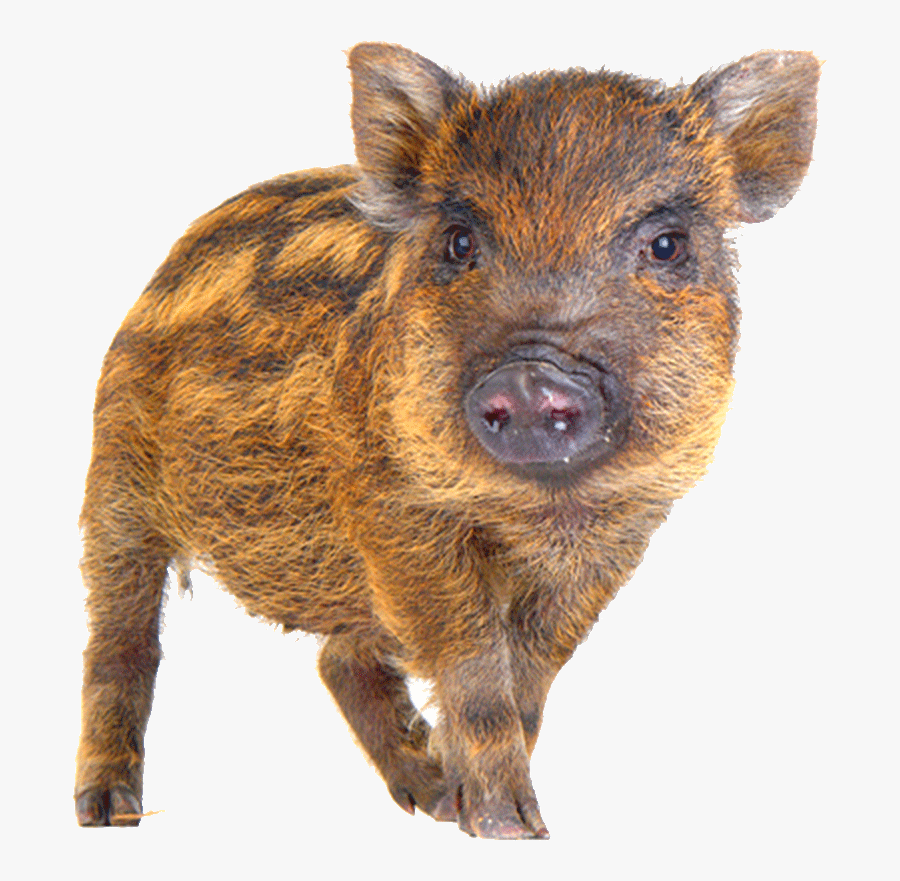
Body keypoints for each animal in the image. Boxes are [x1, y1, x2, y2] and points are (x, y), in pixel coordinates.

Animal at [75, 43, 819, 838]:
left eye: (667, 244)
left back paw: (427, 797)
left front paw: (480, 812)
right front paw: (510, 827)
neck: (540, 509)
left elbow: (531, 672)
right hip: (114, 474)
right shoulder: (393, 508)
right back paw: (109, 813)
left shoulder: (621, 536)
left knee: (340, 657)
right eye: (462, 241)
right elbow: (475, 664)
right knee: (122, 644)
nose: (530, 375)